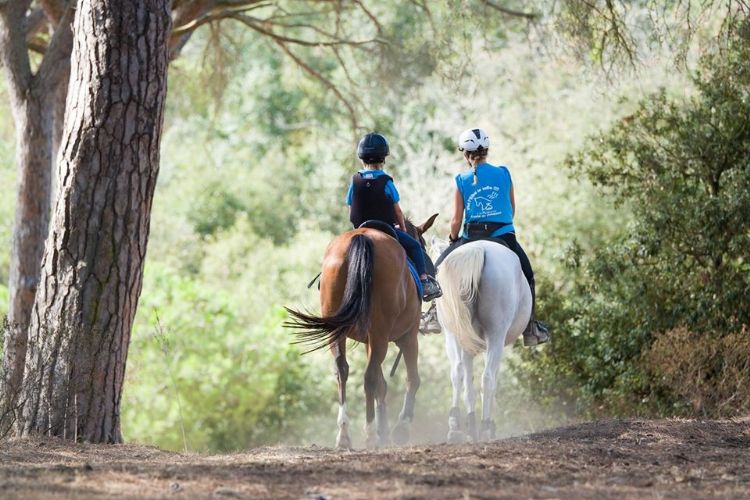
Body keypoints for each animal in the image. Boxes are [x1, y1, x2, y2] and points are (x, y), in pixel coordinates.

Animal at [288, 213, 440, 448]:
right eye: (421, 243)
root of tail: (362, 238)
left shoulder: (370, 341)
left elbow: (381, 385)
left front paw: (384, 431)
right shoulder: (408, 336)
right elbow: (412, 380)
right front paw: (400, 429)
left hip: (342, 333)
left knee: (342, 370)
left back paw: (344, 434)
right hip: (382, 333)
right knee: (369, 377)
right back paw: (369, 434)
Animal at [432, 238, 532, 442]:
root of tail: (479, 249)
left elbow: (468, 385)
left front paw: (470, 425)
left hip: (454, 333)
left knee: (457, 372)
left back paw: (455, 427)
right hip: (496, 334)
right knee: (488, 378)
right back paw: (485, 427)